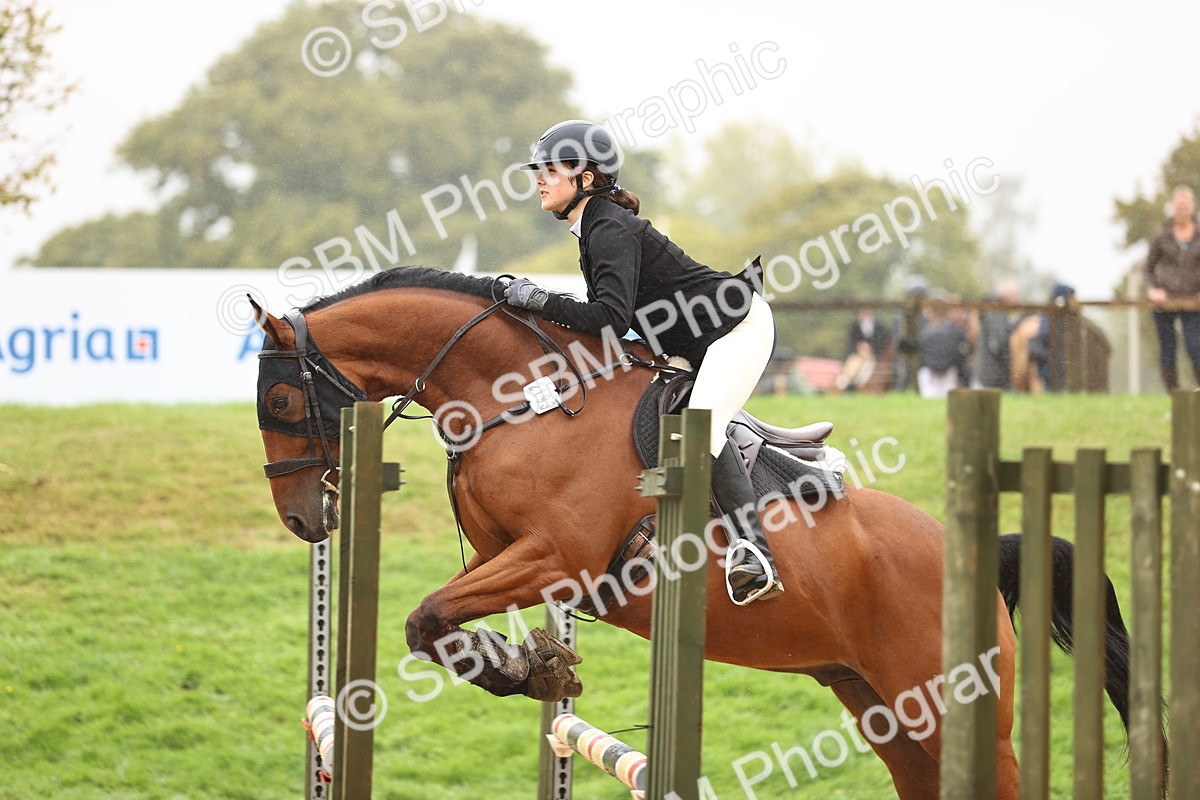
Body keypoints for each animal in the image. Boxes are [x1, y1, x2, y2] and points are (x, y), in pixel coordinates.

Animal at [252, 266, 1144, 799]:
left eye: (283, 401)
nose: (302, 520)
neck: (524, 397)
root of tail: (975, 556)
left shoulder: (560, 557)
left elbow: (428, 615)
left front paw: (527, 669)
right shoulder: (519, 559)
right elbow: (437, 622)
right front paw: (533, 665)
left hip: (960, 710)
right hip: (885, 707)